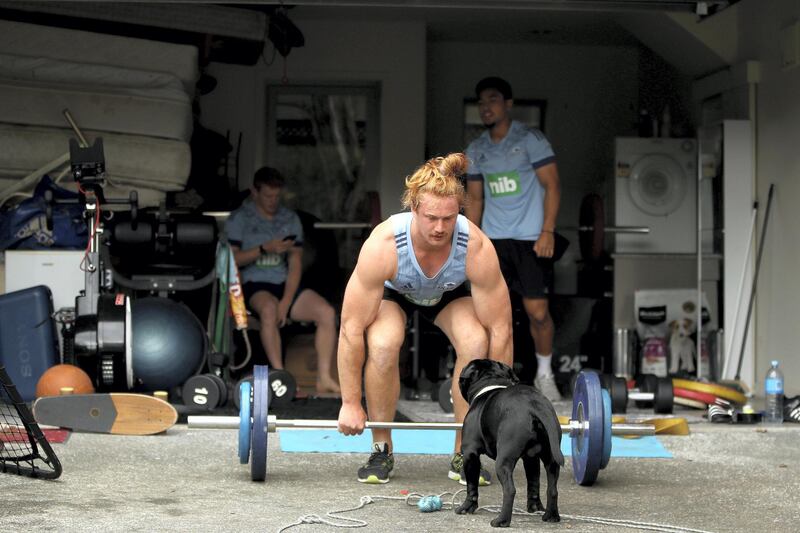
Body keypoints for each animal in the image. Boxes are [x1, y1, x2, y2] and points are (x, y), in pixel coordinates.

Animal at [456, 360, 564, 524]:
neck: (490, 382)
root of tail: (534, 405)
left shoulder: (470, 454)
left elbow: (472, 486)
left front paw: (466, 507)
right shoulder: (531, 458)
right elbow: (533, 483)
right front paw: (535, 508)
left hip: (503, 461)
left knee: (509, 490)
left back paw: (501, 521)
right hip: (551, 458)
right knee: (552, 489)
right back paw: (551, 516)